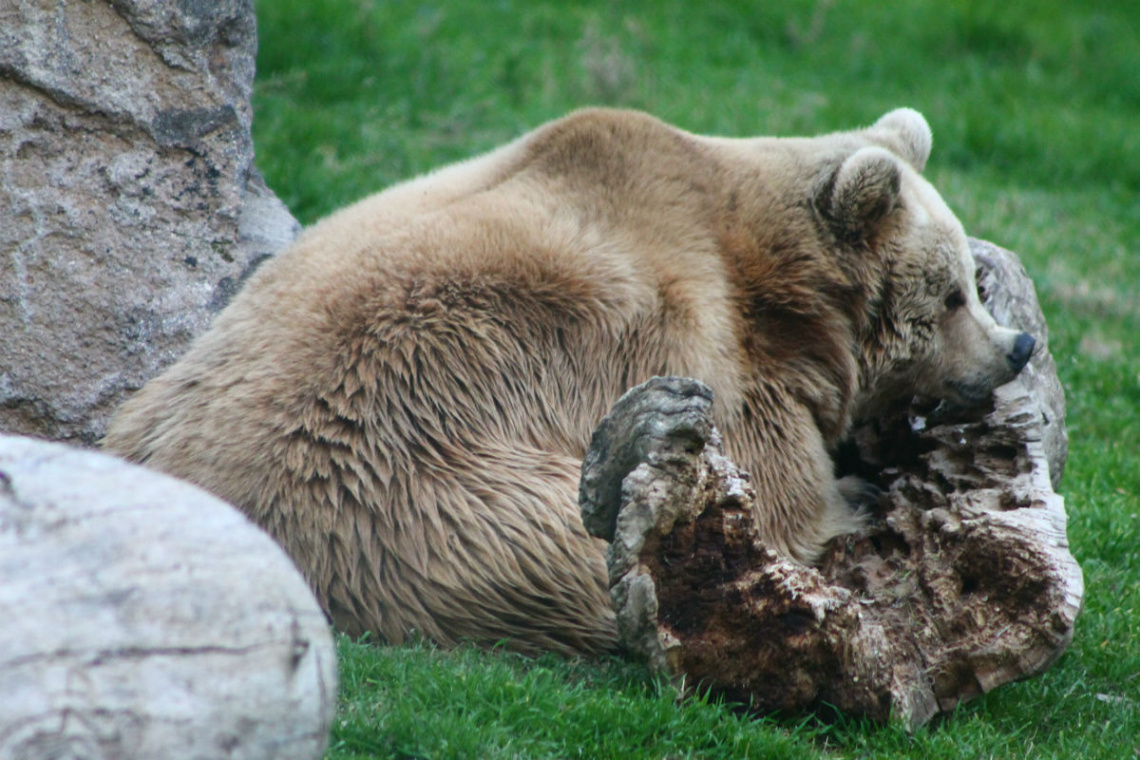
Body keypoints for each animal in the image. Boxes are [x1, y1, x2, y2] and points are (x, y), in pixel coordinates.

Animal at [102, 108, 1039, 660]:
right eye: (951, 294)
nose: (1018, 346)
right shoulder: (717, 357)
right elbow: (782, 501)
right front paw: (856, 498)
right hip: (422, 488)